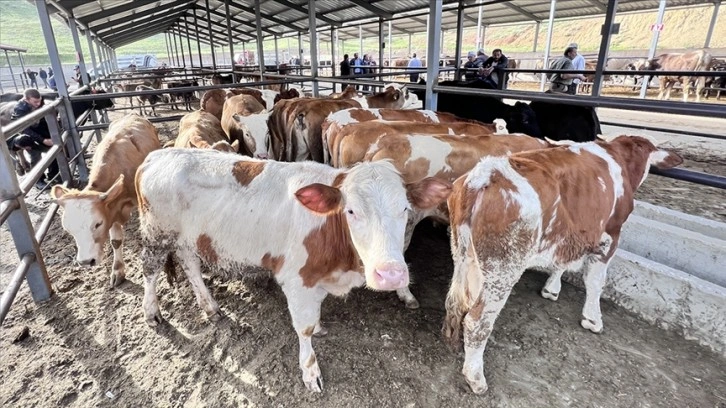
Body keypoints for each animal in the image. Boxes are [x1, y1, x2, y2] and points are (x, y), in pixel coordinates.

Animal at [50, 112, 161, 286]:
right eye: (68, 228)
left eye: (98, 224)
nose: (86, 261)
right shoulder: (111, 207)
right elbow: (116, 241)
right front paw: (118, 271)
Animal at [134, 147, 452, 392]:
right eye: (351, 211)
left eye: (405, 209)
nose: (391, 275)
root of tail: (158, 154)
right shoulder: (297, 279)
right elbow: (304, 327)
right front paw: (311, 373)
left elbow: (316, 313)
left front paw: (321, 327)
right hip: (157, 233)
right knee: (150, 269)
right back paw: (152, 313)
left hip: (186, 237)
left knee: (190, 264)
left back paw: (210, 307)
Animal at [440, 135, 684, 394]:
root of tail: (485, 173)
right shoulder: (610, 235)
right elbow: (595, 282)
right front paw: (592, 319)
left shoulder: (569, 235)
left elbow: (562, 262)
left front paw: (551, 289)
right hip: (503, 266)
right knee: (477, 321)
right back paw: (475, 377)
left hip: (462, 253)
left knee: (454, 301)